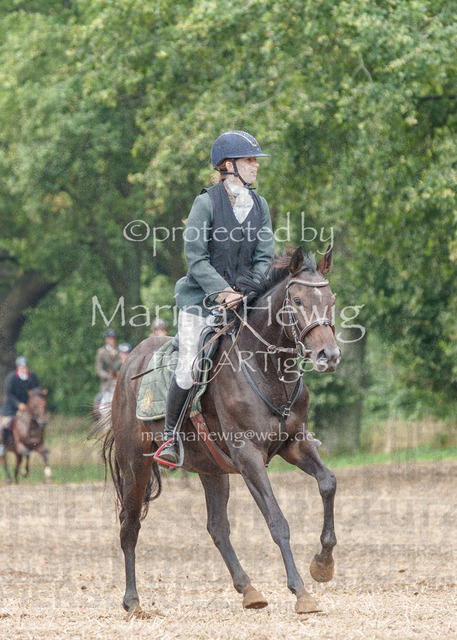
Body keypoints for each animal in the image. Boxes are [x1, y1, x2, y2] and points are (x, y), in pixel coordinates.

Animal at [97, 246, 341, 617]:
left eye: (330, 299)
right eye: (297, 300)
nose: (329, 355)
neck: (267, 369)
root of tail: (128, 365)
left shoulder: (295, 444)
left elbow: (328, 482)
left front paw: (323, 564)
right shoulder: (248, 456)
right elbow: (277, 521)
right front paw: (301, 591)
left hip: (212, 468)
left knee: (217, 528)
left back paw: (249, 590)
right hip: (135, 463)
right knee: (130, 524)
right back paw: (133, 602)